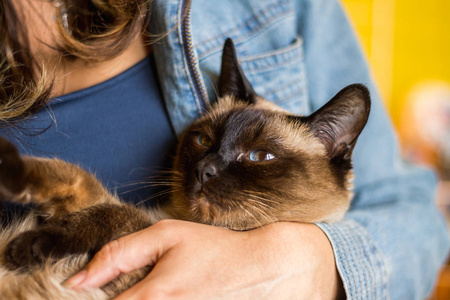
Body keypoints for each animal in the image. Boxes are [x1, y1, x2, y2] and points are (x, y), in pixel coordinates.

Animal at [0, 38, 370, 298]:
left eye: (259, 157)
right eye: (204, 140)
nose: (205, 169)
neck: (175, 218)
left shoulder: (144, 247)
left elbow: (116, 213)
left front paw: (26, 247)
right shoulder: (91, 198)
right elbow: (70, 175)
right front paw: (9, 169)